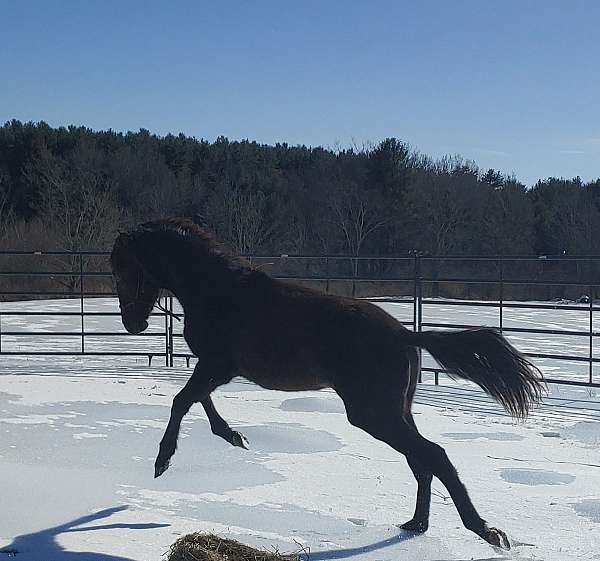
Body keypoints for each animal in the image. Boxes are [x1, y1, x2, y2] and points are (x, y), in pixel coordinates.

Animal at [110, 218, 548, 548]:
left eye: (123, 268)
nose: (132, 323)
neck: (217, 290)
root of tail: (404, 335)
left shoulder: (218, 365)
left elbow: (182, 401)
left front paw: (163, 460)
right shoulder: (216, 367)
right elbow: (199, 401)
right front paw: (233, 436)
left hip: (373, 414)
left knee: (434, 455)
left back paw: (486, 531)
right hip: (394, 413)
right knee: (422, 460)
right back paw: (417, 525)